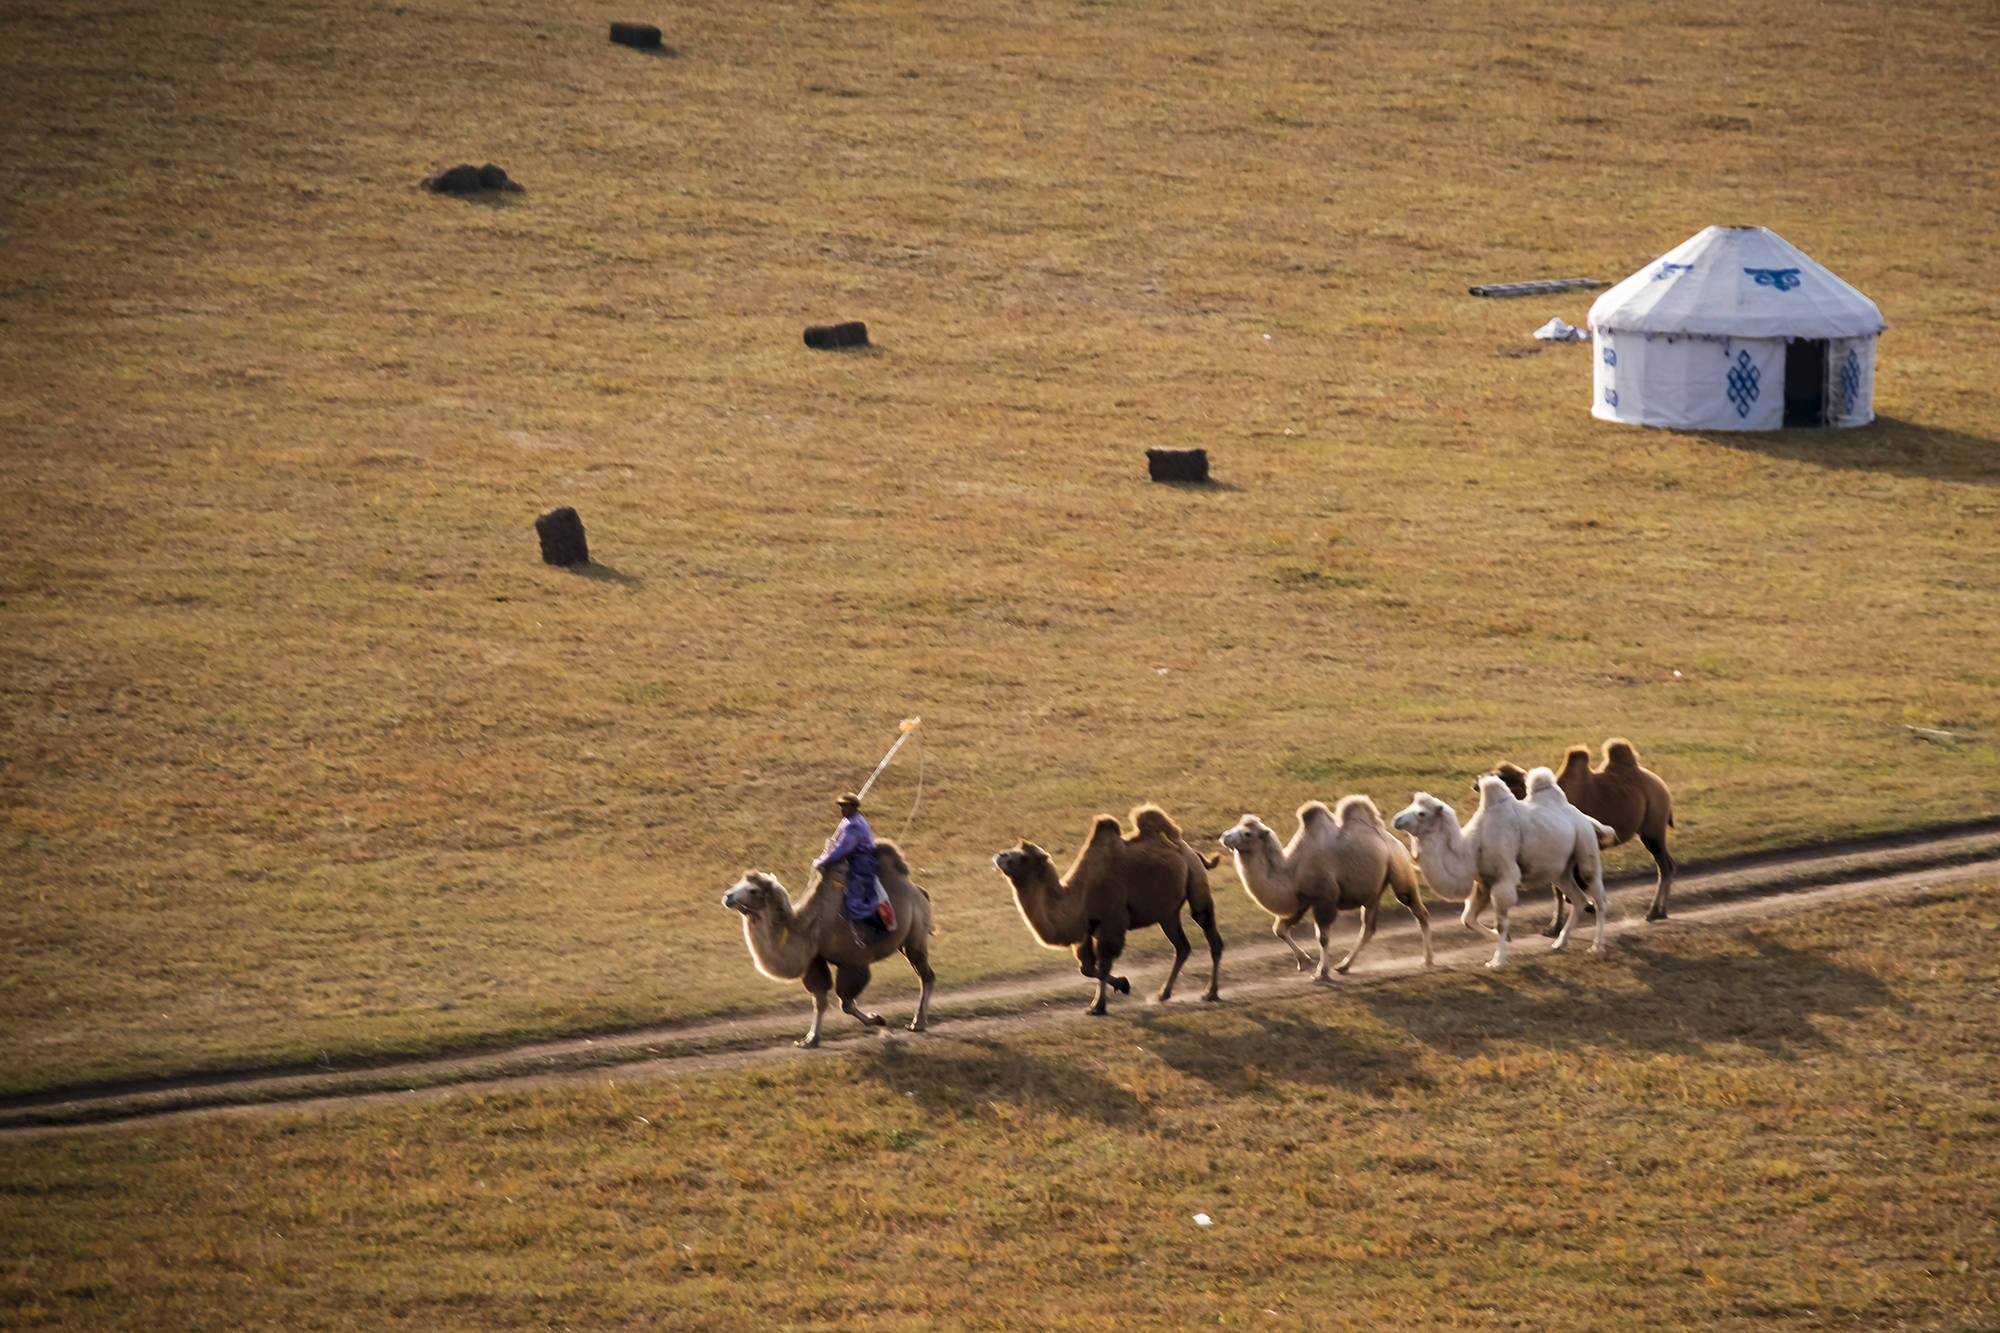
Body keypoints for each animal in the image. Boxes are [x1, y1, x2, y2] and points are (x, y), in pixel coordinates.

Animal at [992, 804, 1224, 1012]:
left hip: (1196, 882)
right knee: (1182, 946)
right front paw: (1122, 985)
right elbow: (1086, 968)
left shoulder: (1111, 924)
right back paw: (1164, 993)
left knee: (1209, 932)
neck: (1078, 896)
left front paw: (1098, 1006)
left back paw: (1210, 992)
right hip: (1167, 913)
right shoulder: (1086, 930)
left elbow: (1102, 965)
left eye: (1023, 857)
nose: (999, 856)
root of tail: (1188, 848)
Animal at [1208, 792, 1432, 980]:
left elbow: (1322, 937)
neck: (1291, 870)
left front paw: (1320, 972)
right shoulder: (1301, 901)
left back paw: (1427, 959)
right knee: (1368, 927)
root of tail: (1394, 842)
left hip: (1399, 871)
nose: (1225, 836)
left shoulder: (1324, 898)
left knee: (1417, 910)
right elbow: (1279, 929)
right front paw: (1304, 961)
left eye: (1248, 833)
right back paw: (1344, 965)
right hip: (1373, 891)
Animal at [1400, 768, 1616, 964]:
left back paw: (1597, 946)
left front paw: (1498, 960)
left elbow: (1501, 922)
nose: (1397, 820)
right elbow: (1467, 919)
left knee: (1598, 898)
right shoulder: (1484, 882)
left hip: (1585, 848)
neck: (1472, 846)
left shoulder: (1504, 879)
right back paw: (1560, 943)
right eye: (1411, 804)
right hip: (1559, 871)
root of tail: (1585, 817)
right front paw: (1504, 940)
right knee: (1579, 899)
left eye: (1421, 813)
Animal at [1496, 736, 1680, 924]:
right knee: (1667, 864)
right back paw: (1660, 911)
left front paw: (1566, 919)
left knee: (1664, 866)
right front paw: (1559, 922)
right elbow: (1562, 888)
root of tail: (1662, 786)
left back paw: (1654, 912)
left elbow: (1566, 888)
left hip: (1653, 827)